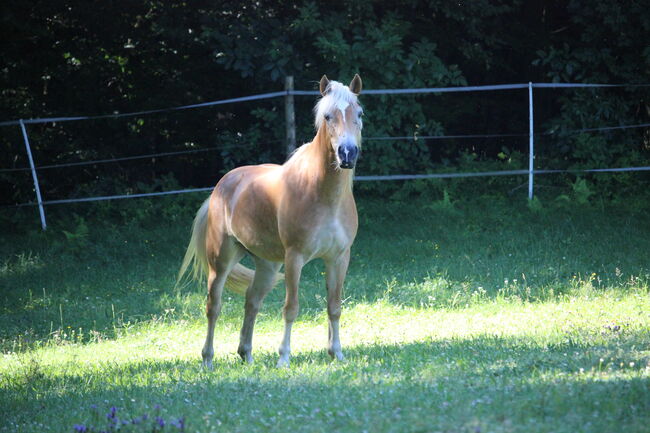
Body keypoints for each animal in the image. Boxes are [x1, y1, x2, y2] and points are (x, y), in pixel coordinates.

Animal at [178, 75, 360, 368]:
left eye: (359, 114)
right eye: (328, 116)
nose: (347, 154)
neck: (323, 194)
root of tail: (221, 187)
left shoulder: (339, 257)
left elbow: (334, 306)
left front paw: (337, 353)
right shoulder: (295, 258)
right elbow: (291, 308)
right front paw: (284, 357)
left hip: (267, 265)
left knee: (252, 302)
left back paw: (246, 354)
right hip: (221, 260)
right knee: (213, 306)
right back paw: (207, 360)